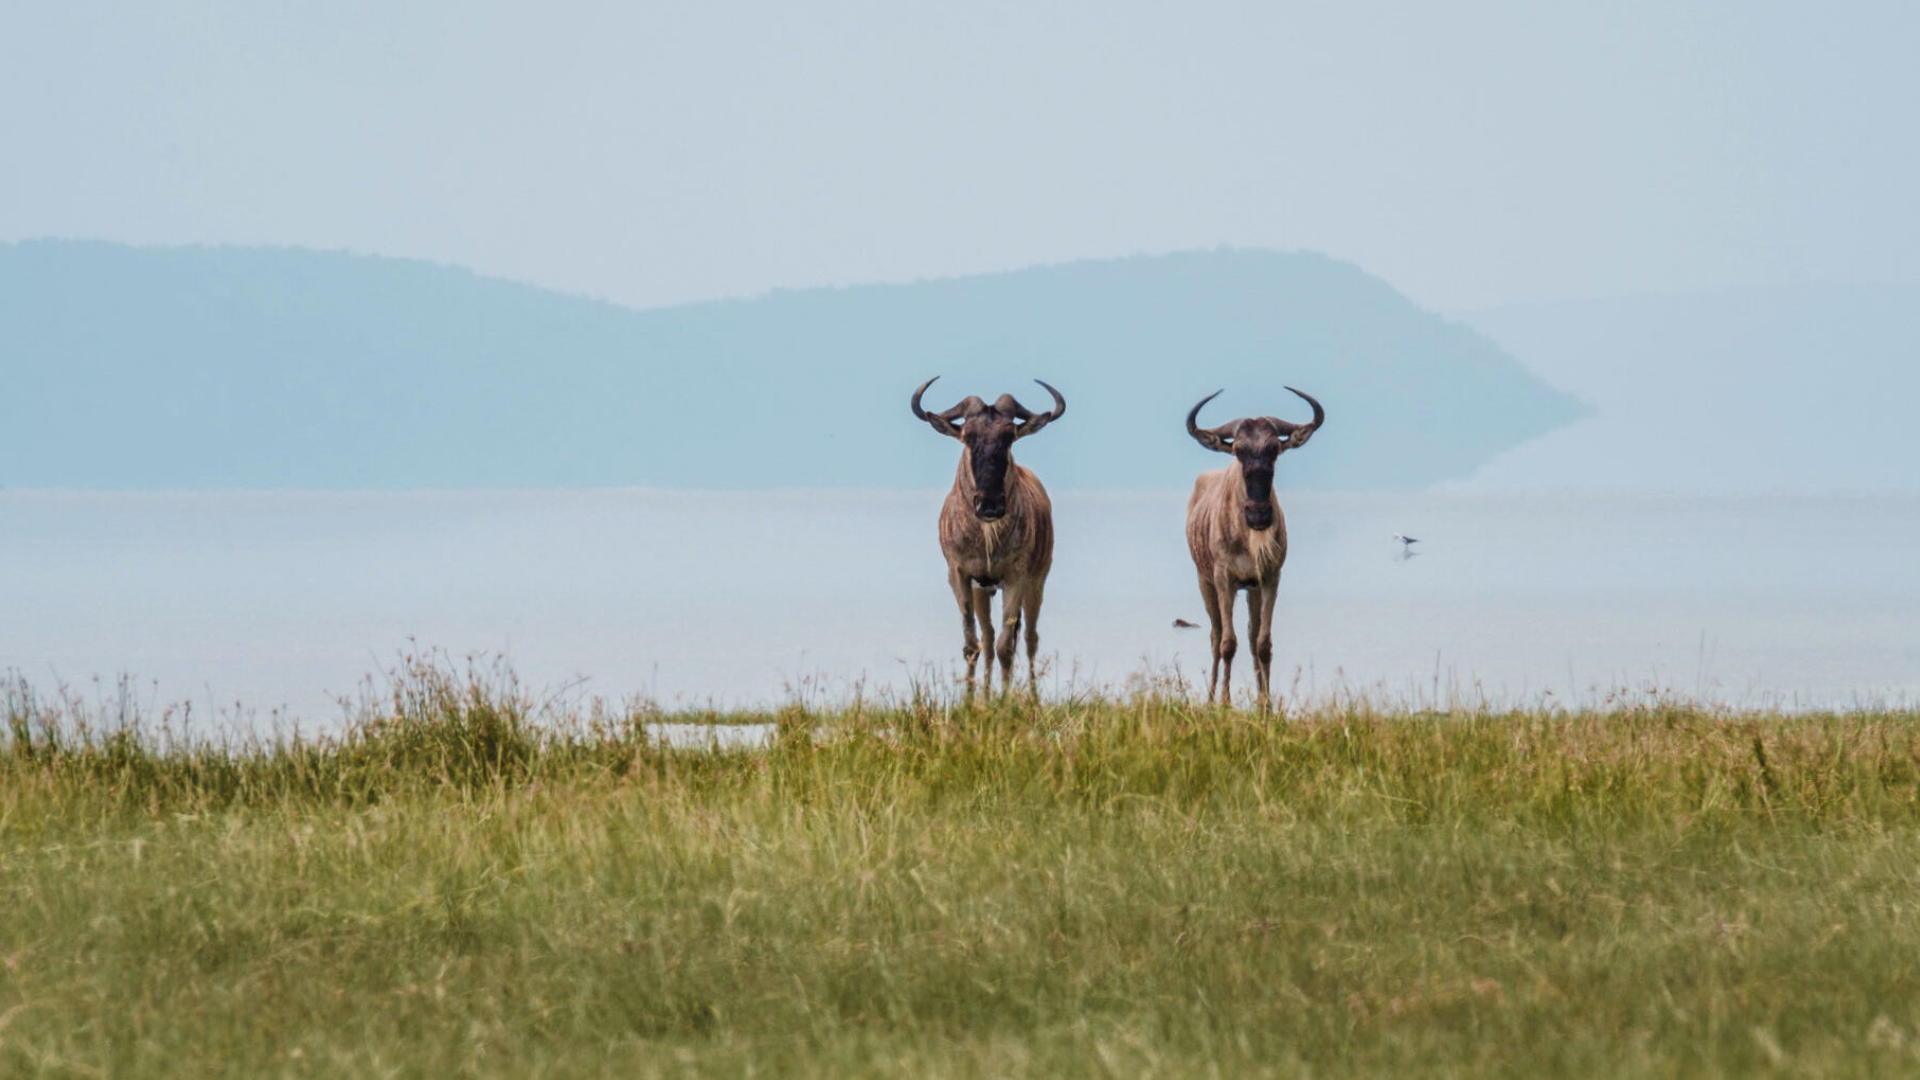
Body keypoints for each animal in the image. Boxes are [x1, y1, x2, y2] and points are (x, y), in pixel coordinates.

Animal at [911, 377, 1065, 695]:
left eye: (1009, 436)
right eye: (968, 436)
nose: (990, 505)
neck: (986, 540)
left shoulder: (1017, 577)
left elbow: (1008, 646)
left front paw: (1006, 702)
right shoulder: (960, 575)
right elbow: (974, 643)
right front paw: (971, 701)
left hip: (1037, 581)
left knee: (1029, 639)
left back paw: (1032, 698)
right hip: (983, 590)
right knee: (989, 637)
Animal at [1183, 386, 1325, 711]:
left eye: (1274, 449)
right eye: (1238, 450)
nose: (1259, 515)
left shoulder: (1269, 578)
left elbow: (1262, 643)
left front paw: (1266, 706)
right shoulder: (1224, 579)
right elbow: (1228, 644)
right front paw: (1224, 704)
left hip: (1251, 590)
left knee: (1249, 637)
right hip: (1205, 582)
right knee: (1216, 635)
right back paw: (1211, 698)